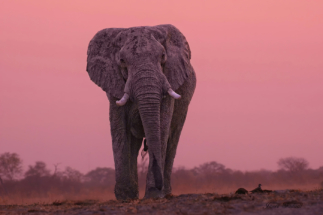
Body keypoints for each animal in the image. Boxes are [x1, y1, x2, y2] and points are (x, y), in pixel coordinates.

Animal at [86, 24, 196, 199]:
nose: (158, 185)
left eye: (163, 56)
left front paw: (154, 195)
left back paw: (166, 192)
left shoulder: (170, 78)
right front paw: (126, 197)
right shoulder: (114, 84)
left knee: (172, 138)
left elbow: (162, 126)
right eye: (122, 61)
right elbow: (119, 128)